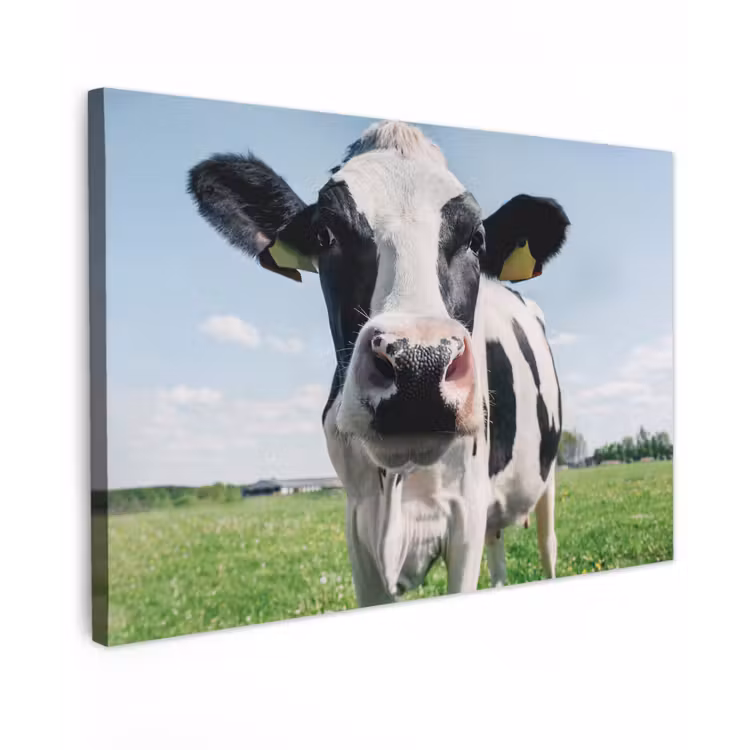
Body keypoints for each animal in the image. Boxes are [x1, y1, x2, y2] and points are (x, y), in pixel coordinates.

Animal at [187, 120, 570, 606]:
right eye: (324, 235)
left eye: (476, 240)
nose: (420, 366)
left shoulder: (466, 512)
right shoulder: (358, 522)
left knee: (548, 544)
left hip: (547, 478)